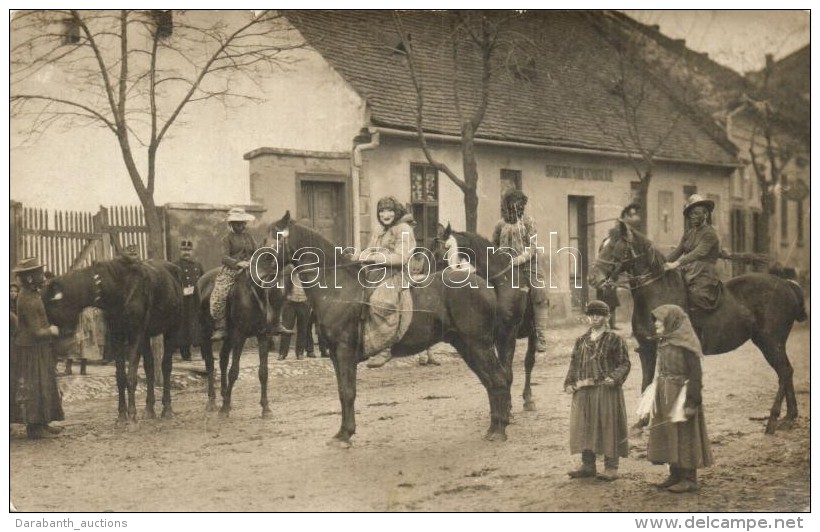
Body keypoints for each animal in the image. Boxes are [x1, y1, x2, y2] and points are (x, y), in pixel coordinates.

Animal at [43, 260, 183, 422]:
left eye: (49, 304)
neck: (116, 288)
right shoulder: (116, 335)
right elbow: (120, 376)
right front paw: (122, 415)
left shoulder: (135, 334)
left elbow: (131, 376)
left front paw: (132, 413)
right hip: (146, 335)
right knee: (149, 366)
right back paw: (149, 409)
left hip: (172, 328)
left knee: (166, 366)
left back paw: (167, 409)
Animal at [195, 256, 286, 418]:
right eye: (270, 295)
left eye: (281, 298)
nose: (274, 324)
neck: (255, 295)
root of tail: (201, 280)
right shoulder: (239, 335)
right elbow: (234, 371)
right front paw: (224, 409)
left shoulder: (262, 335)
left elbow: (263, 372)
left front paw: (266, 408)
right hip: (204, 332)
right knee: (210, 363)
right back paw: (212, 401)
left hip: (228, 338)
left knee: (223, 359)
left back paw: (224, 395)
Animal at [272, 212, 510, 444]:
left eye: (274, 237)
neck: (338, 288)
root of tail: (487, 285)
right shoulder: (334, 353)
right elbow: (342, 391)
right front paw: (342, 432)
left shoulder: (344, 350)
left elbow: (348, 391)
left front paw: (346, 434)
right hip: (466, 345)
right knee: (490, 380)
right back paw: (495, 426)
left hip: (478, 344)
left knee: (498, 379)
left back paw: (499, 431)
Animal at [432, 224, 540, 412]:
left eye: (441, 253)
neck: (500, 283)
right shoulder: (490, 337)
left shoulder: (508, 333)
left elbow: (507, 372)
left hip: (532, 332)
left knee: (529, 362)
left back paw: (528, 399)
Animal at [588, 222, 808, 434]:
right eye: (601, 245)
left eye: (615, 246)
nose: (592, 278)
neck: (657, 295)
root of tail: (786, 284)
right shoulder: (646, 349)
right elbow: (646, 382)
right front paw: (641, 422)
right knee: (786, 372)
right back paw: (789, 417)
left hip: (770, 342)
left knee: (784, 372)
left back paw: (773, 419)